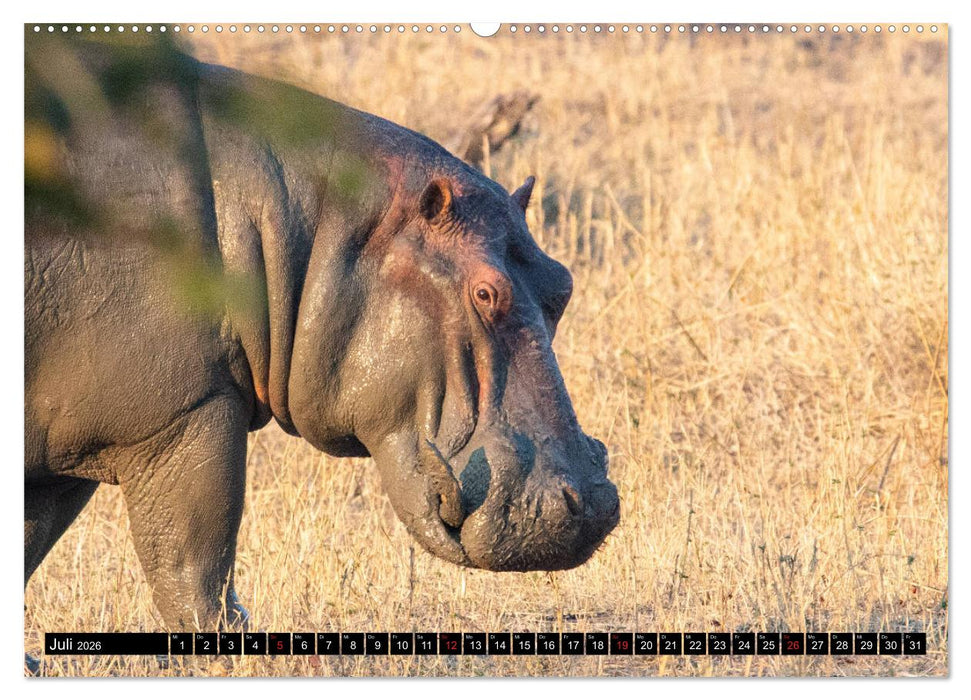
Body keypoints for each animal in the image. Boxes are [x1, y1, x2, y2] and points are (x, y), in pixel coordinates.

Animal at [25, 36, 620, 631]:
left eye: (563, 282)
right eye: (485, 293)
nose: (589, 506)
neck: (303, 226)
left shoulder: (68, 450)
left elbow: (30, 550)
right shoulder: (183, 416)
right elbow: (196, 573)